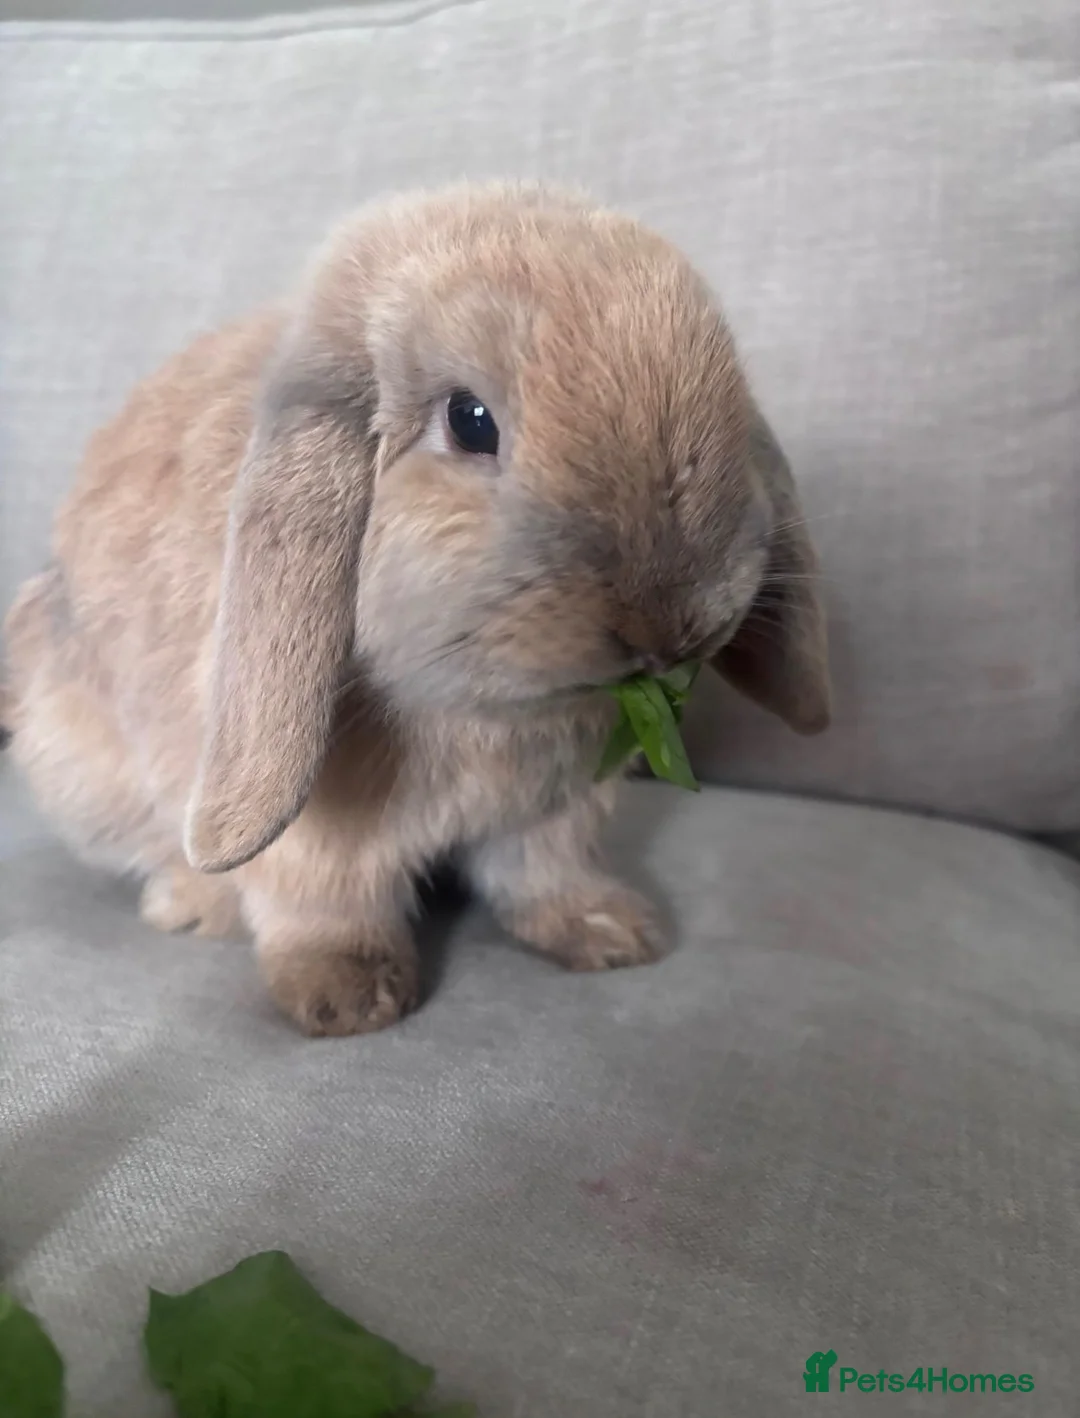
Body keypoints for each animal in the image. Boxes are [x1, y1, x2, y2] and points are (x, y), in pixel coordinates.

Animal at [2, 182, 831, 1037]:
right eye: (469, 420)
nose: (669, 624)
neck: (485, 712)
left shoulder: (553, 812)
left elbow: (544, 873)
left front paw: (612, 934)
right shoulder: (312, 829)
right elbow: (323, 900)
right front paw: (348, 999)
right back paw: (196, 903)